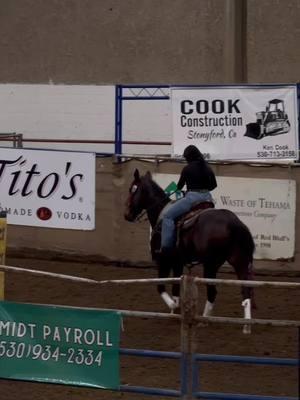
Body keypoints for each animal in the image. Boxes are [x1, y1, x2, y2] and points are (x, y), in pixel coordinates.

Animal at [124, 168, 255, 332]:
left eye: (132, 189)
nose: (127, 215)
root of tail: (235, 223)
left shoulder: (164, 260)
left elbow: (160, 286)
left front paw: (173, 306)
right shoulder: (178, 263)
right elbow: (175, 287)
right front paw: (175, 310)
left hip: (211, 264)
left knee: (212, 291)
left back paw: (204, 320)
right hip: (239, 261)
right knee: (245, 290)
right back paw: (246, 326)